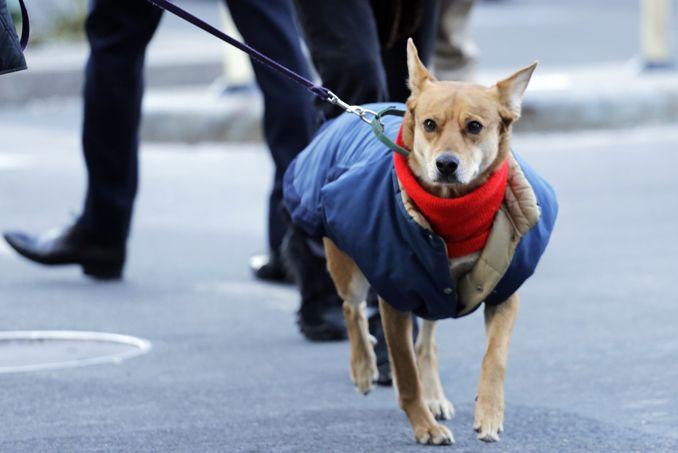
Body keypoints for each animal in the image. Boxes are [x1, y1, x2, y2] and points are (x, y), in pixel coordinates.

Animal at [282, 37, 556, 444]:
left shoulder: (503, 290)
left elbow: (494, 357)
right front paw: (424, 425)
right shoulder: (395, 297)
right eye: (429, 124)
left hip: (433, 292)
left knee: (427, 342)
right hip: (348, 266)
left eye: (474, 126)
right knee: (352, 309)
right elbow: (405, 371)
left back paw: (435, 396)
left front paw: (489, 413)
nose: (446, 164)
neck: (452, 212)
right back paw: (364, 368)